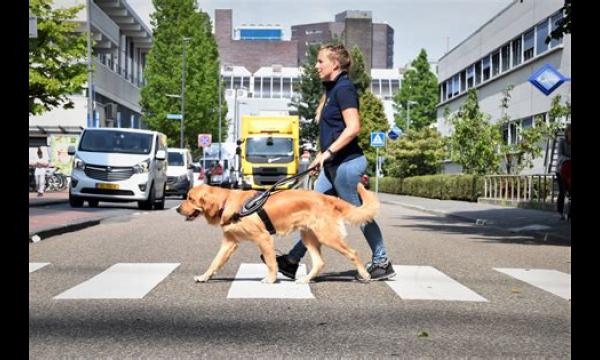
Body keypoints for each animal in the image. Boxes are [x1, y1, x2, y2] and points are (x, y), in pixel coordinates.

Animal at [175, 184, 380, 286]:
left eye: (190, 198)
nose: (177, 209)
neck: (227, 203)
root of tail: (327, 197)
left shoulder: (263, 238)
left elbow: (271, 262)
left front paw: (271, 279)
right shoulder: (229, 242)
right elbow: (215, 262)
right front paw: (204, 277)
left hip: (327, 236)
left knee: (353, 253)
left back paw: (364, 274)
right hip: (308, 236)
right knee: (319, 262)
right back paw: (305, 279)